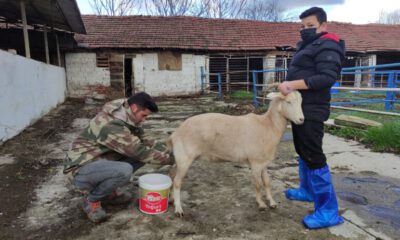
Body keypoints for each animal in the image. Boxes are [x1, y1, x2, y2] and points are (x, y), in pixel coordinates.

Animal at [166, 91, 304, 217]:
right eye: (288, 102)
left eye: (301, 101)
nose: (301, 119)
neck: (268, 125)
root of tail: (175, 134)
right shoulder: (255, 162)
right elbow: (258, 184)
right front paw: (261, 204)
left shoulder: (263, 162)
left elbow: (267, 182)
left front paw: (272, 202)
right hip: (185, 156)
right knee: (177, 181)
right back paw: (178, 209)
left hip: (179, 158)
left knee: (172, 175)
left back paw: (172, 200)